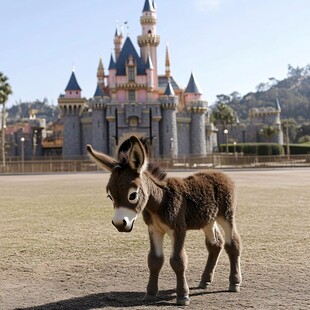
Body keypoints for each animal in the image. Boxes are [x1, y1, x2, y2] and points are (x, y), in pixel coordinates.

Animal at [87, 136, 242, 306]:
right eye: (110, 196)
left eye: (132, 195)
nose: (120, 224)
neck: (160, 202)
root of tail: (219, 173)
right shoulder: (154, 230)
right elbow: (154, 261)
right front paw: (150, 294)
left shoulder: (179, 229)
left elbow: (178, 261)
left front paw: (183, 296)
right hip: (208, 220)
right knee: (215, 245)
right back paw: (205, 281)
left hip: (226, 216)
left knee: (233, 244)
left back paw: (234, 283)